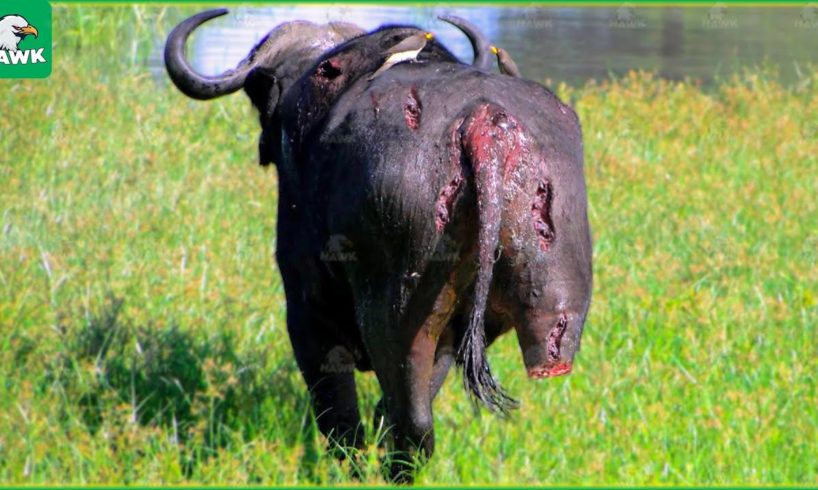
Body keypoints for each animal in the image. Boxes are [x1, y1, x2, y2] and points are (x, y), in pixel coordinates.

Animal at [165, 10, 592, 482]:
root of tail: (483, 125)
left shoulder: (307, 315)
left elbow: (339, 416)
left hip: (395, 312)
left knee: (412, 424)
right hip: (548, 305)